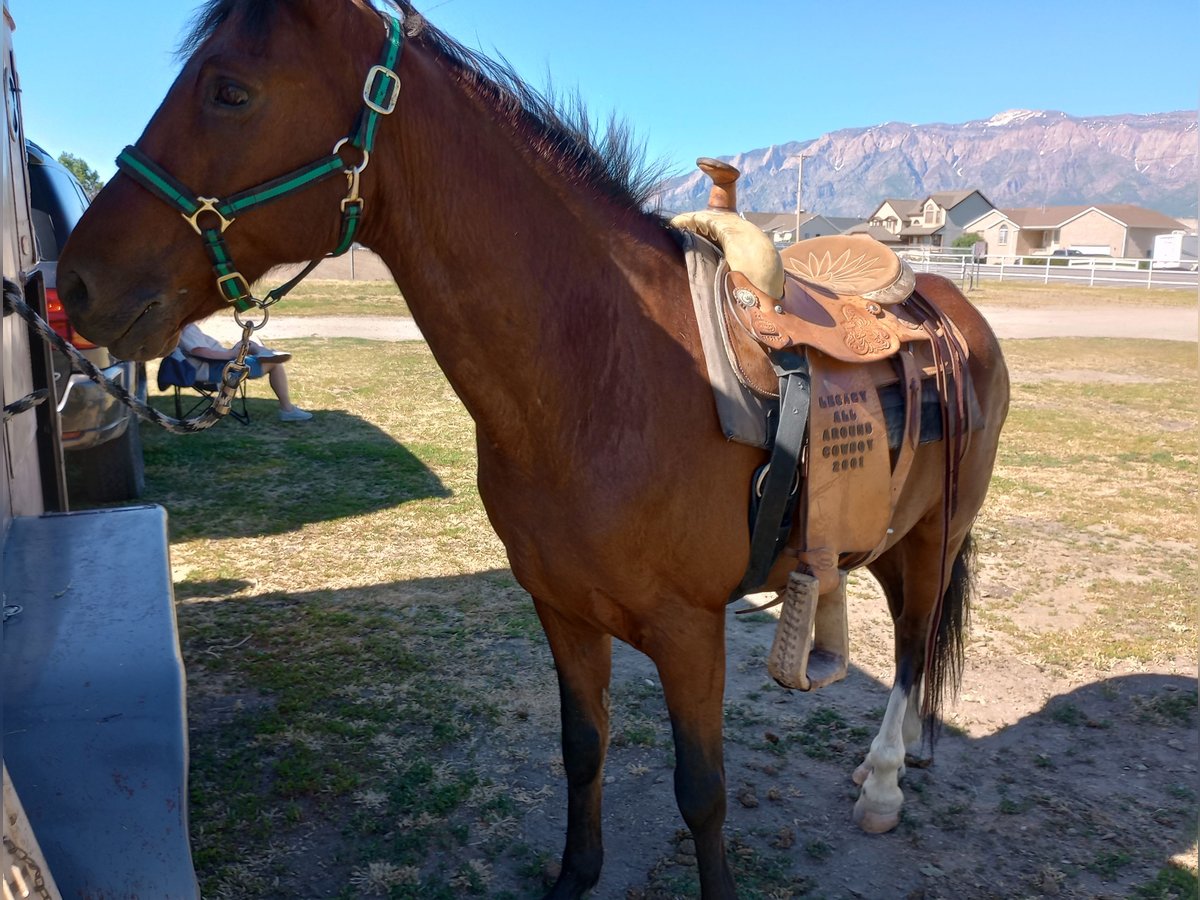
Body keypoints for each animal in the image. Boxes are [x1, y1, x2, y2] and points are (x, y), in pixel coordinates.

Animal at [60, 3, 1008, 897]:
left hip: (938, 532)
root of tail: (952, 307)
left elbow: (701, 791)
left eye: (230, 91)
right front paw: (574, 874)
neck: (607, 373)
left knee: (916, 641)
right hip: (884, 538)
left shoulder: (689, 632)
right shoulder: (560, 609)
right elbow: (582, 749)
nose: (72, 284)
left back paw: (882, 782)